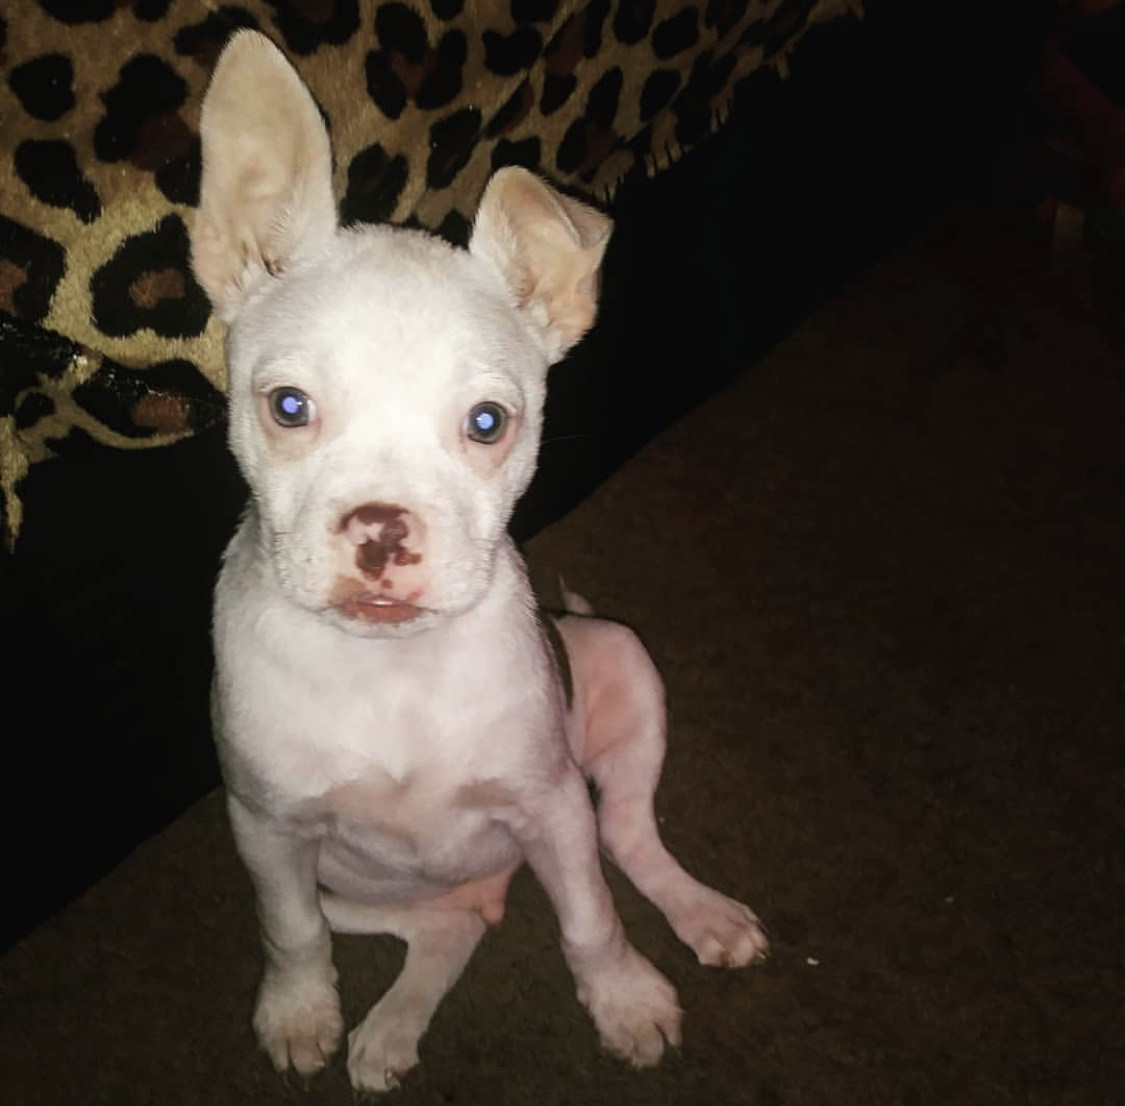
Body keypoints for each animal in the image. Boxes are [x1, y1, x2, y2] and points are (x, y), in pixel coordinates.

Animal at [193, 30, 769, 1093]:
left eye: (488, 424)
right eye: (288, 407)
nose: (382, 529)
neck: (388, 668)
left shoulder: (551, 806)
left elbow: (589, 919)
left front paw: (622, 999)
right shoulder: (265, 831)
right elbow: (287, 933)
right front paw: (296, 1011)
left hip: (619, 667)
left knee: (626, 834)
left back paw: (700, 914)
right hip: (347, 882)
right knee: (441, 927)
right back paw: (389, 1026)